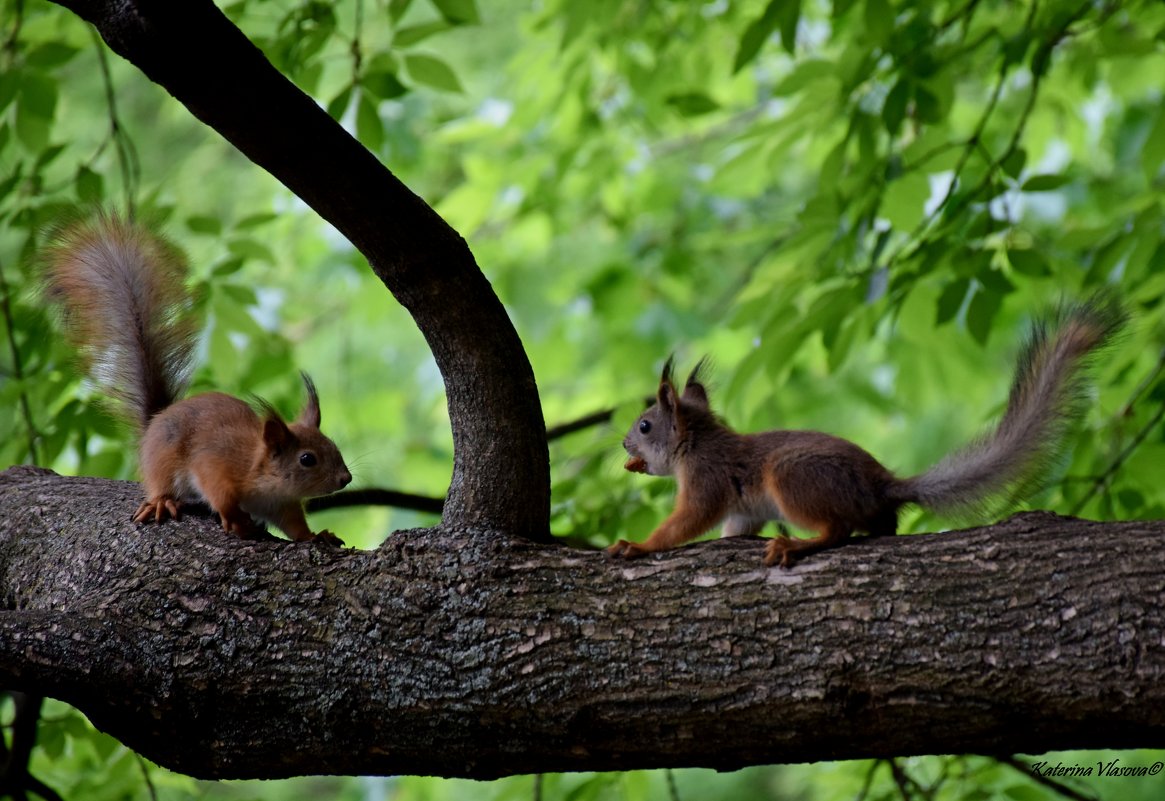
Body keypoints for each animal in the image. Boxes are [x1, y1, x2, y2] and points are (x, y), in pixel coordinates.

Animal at [43, 213, 351, 544]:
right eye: (307, 459)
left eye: (333, 445)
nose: (346, 478)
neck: (261, 470)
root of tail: (156, 419)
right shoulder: (218, 463)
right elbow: (218, 490)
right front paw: (234, 518)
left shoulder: (281, 504)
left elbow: (295, 527)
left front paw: (317, 536)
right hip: (163, 460)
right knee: (162, 484)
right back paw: (162, 501)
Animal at [610, 296, 1127, 565]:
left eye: (645, 425)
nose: (624, 444)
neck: (695, 441)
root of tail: (884, 486)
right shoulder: (741, 511)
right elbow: (734, 528)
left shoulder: (706, 479)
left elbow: (687, 521)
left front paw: (636, 545)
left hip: (791, 476)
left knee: (837, 531)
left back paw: (796, 544)